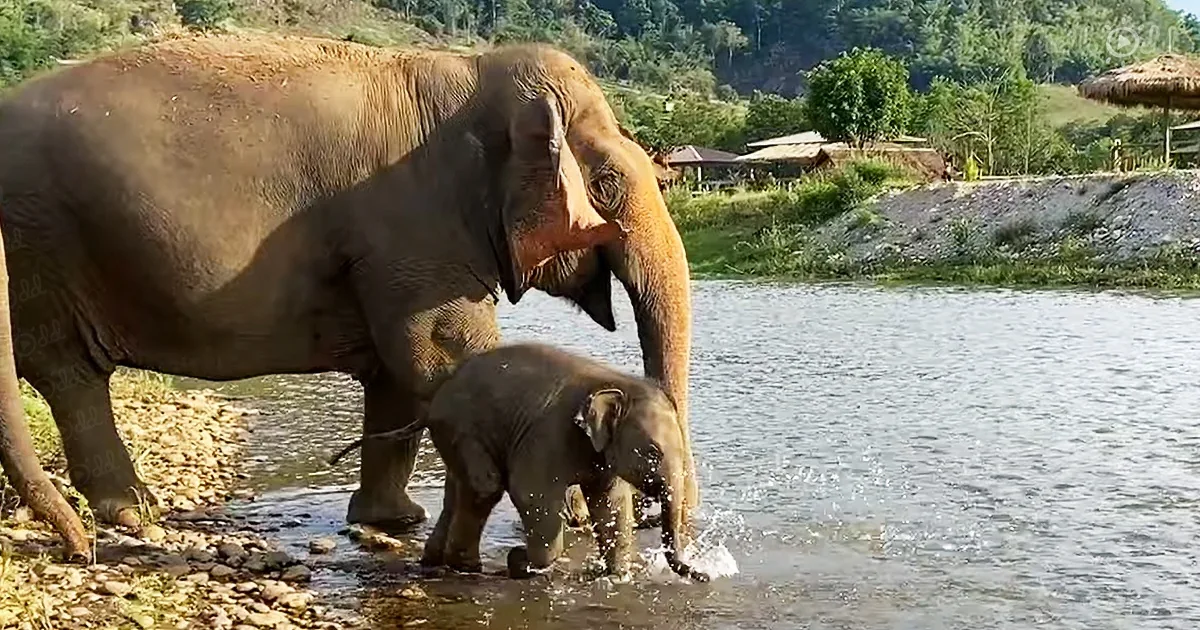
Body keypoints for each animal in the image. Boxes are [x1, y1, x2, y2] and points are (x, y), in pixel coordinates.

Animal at [0, 32, 697, 548]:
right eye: (606, 182)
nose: (655, 516)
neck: (472, 72)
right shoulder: (414, 230)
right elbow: (443, 354)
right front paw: (573, 506)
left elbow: (400, 374)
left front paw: (393, 521)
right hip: (41, 241)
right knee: (68, 371)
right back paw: (130, 514)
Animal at [329, 343, 708, 582]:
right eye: (653, 452)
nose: (703, 576)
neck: (613, 382)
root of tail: (434, 404)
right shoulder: (547, 434)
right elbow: (533, 495)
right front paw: (524, 563)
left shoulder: (598, 452)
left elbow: (611, 503)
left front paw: (614, 576)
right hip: (463, 429)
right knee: (486, 486)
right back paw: (468, 567)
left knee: (460, 490)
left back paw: (438, 562)